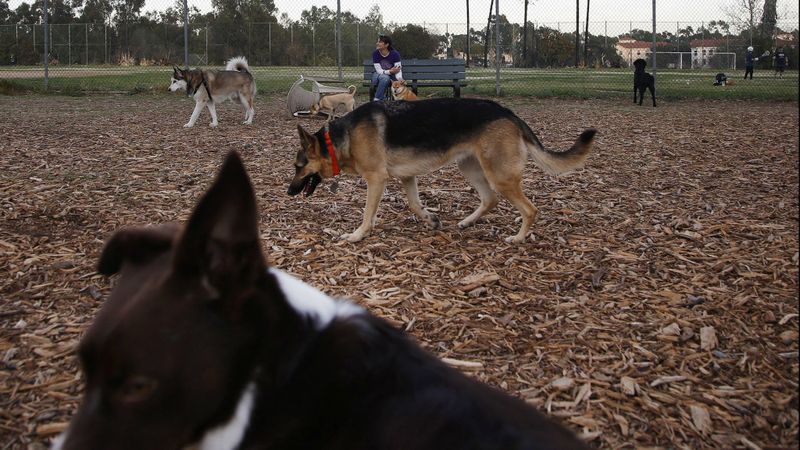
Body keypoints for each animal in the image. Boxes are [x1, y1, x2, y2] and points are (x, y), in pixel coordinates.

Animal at [288, 98, 592, 243]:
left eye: (298, 166)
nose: (289, 192)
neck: (340, 138)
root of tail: (508, 113)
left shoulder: (376, 179)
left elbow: (367, 214)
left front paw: (356, 235)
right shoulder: (407, 177)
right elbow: (414, 204)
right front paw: (431, 220)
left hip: (500, 176)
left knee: (530, 210)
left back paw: (518, 238)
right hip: (469, 167)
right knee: (490, 199)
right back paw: (467, 222)